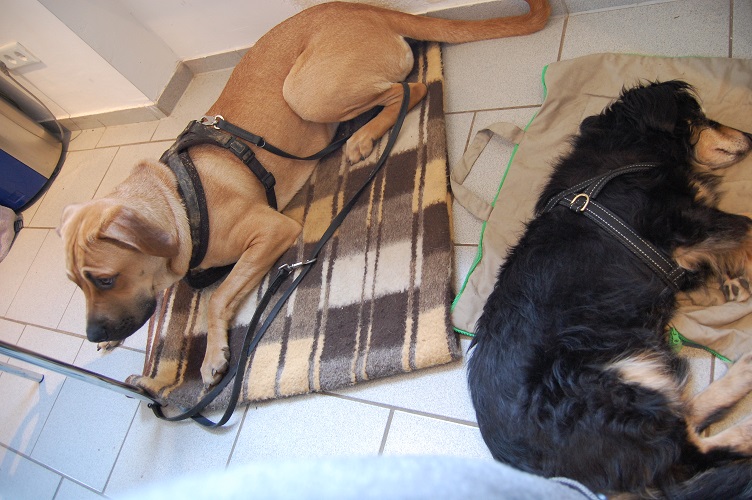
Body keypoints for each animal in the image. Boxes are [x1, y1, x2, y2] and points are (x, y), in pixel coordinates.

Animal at [57, 1, 551, 388]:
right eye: (77, 284)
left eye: (105, 278)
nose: (94, 333)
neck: (180, 199)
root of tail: (361, 8)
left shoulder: (271, 229)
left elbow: (217, 296)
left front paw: (213, 353)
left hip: (305, 91)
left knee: (410, 88)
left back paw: (363, 136)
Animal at [467, 81, 752, 498]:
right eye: (700, 117)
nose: (750, 136)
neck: (635, 145)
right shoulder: (685, 226)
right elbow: (747, 225)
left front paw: (735, 278)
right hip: (622, 378)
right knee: (685, 454)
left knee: (686, 426)